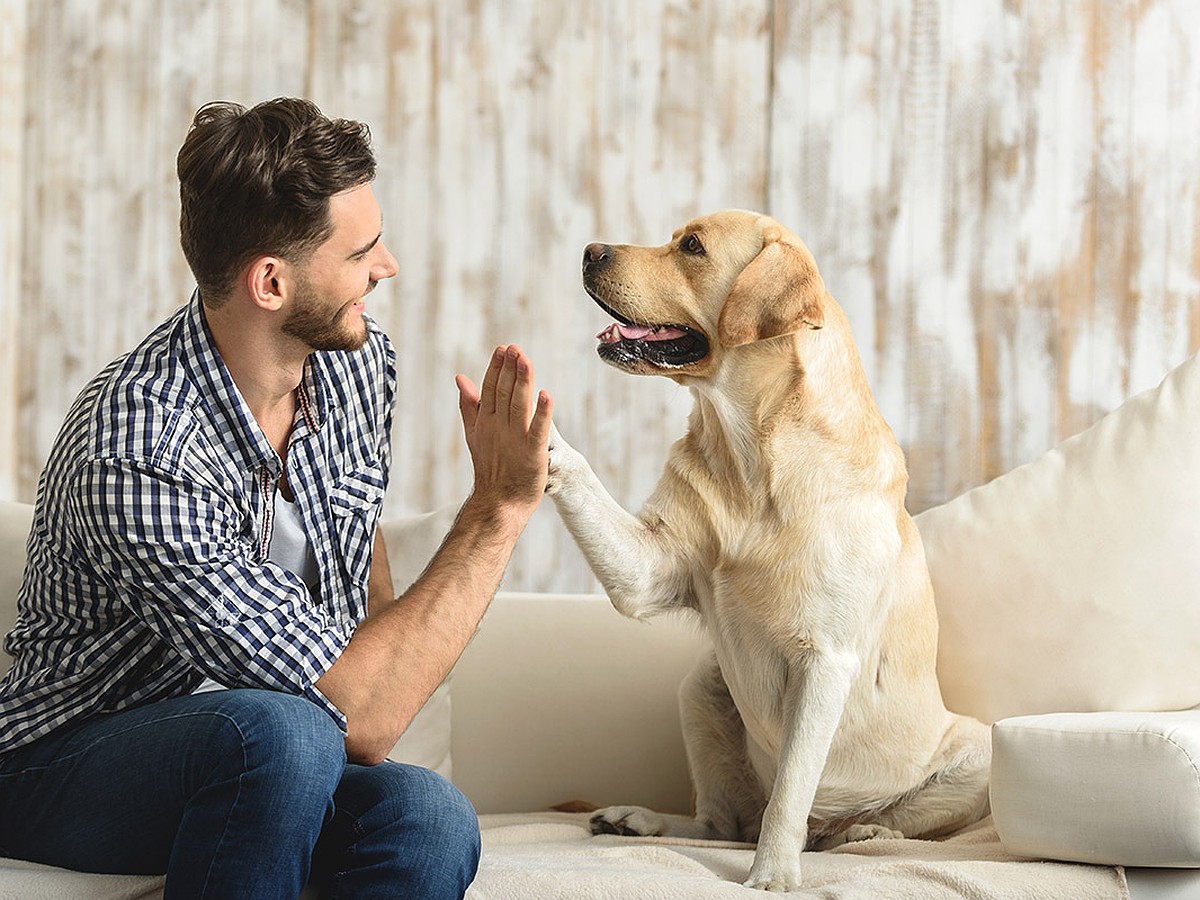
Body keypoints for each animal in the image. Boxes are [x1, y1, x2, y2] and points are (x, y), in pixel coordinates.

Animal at [549, 213, 988, 897]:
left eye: (692, 247)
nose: (591, 250)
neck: (753, 454)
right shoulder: (647, 569)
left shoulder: (825, 662)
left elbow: (790, 793)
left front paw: (774, 874)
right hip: (701, 688)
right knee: (721, 822)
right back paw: (639, 819)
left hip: (978, 752)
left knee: (845, 823)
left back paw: (861, 831)